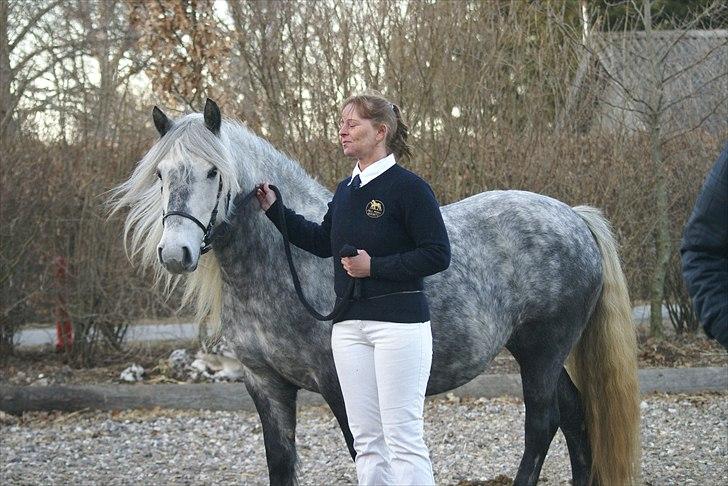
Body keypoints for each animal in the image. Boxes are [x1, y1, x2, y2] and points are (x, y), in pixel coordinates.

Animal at [111, 99, 640, 486]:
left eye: (213, 172)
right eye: (160, 174)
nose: (175, 252)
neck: (281, 265)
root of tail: (574, 217)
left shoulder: (339, 384)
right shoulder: (266, 386)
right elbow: (281, 464)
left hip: (544, 349)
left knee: (542, 423)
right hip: (538, 351)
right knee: (574, 417)